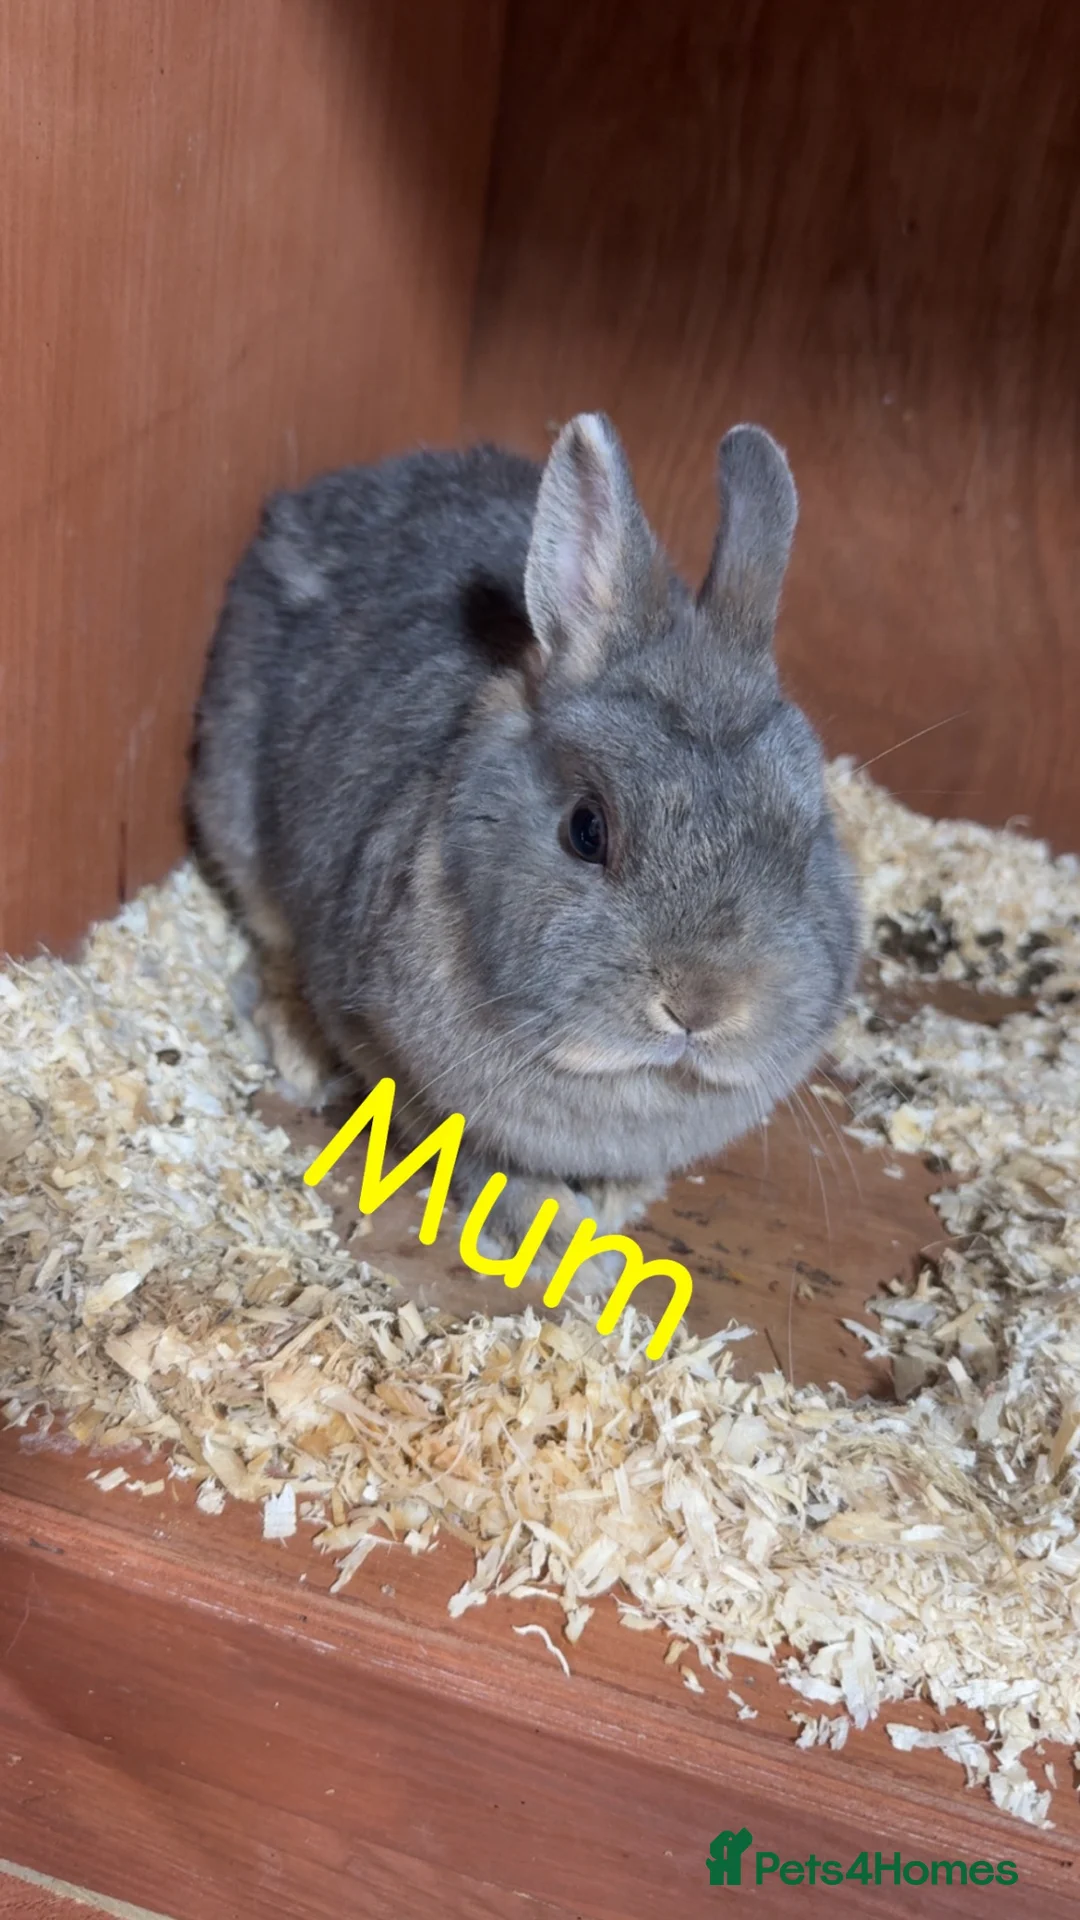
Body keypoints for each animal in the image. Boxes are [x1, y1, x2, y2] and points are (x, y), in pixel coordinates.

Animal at [187, 414, 859, 1280]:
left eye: (806, 838)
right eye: (587, 830)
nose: (701, 1006)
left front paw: (619, 1200)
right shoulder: (393, 1057)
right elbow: (486, 1168)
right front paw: (582, 1253)